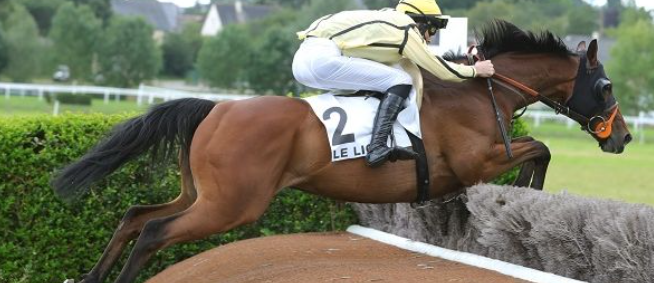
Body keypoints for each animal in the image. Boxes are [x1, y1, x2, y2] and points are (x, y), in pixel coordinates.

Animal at [53, 20, 632, 283]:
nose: (623, 137)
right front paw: (524, 195)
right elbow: (538, 149)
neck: (476, 91)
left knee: (135, 214)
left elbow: (536, 151)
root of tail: (215, 110)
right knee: (154, 230)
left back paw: (94, 276)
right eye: (605, 86)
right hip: (231, 205)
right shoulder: (475, 160)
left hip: (202, 194)